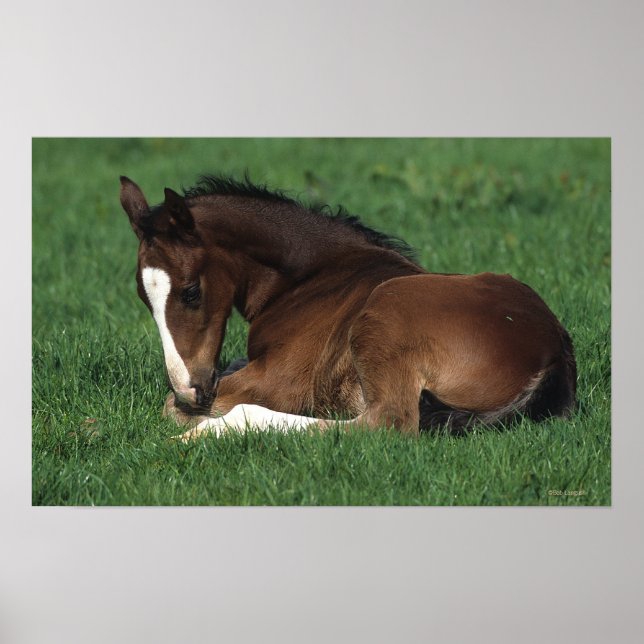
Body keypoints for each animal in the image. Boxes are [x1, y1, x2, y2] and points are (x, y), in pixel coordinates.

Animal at [119, 174, 576, 441]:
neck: (311, 277)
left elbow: (170, 408)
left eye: (191, 291)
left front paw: (194, 419)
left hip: (389, 307)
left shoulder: (283, 380)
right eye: (143, 298)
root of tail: (554, 350)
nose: (191, 390)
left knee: (386, 424)